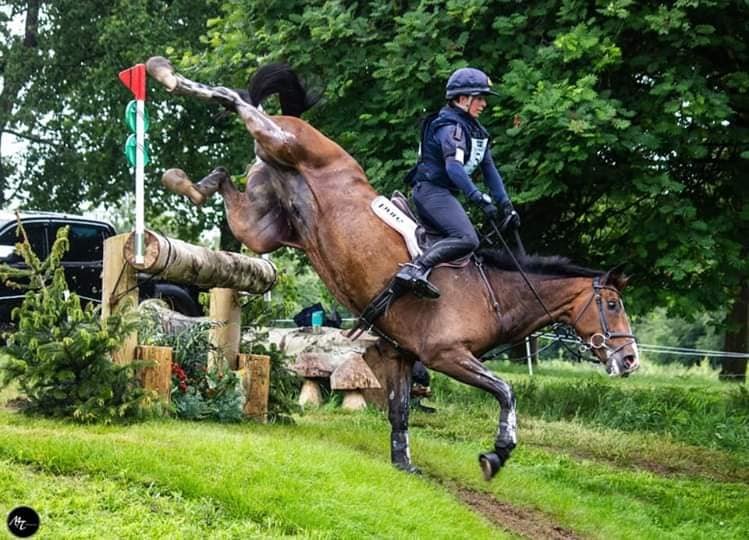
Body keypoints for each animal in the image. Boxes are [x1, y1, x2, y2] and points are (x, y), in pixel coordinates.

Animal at [145, 57, 640, 480]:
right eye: (614, 304)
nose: (631, 359)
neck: (493, 292)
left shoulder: (403, 353)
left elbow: (401, 411)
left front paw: (404, 465)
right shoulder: (447, 355)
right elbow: (506, 392)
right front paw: (496, 454)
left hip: (262, 225)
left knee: (225, 180)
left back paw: (184, 181)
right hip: (287, 145)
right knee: (237, 101)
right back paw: (164, 74)